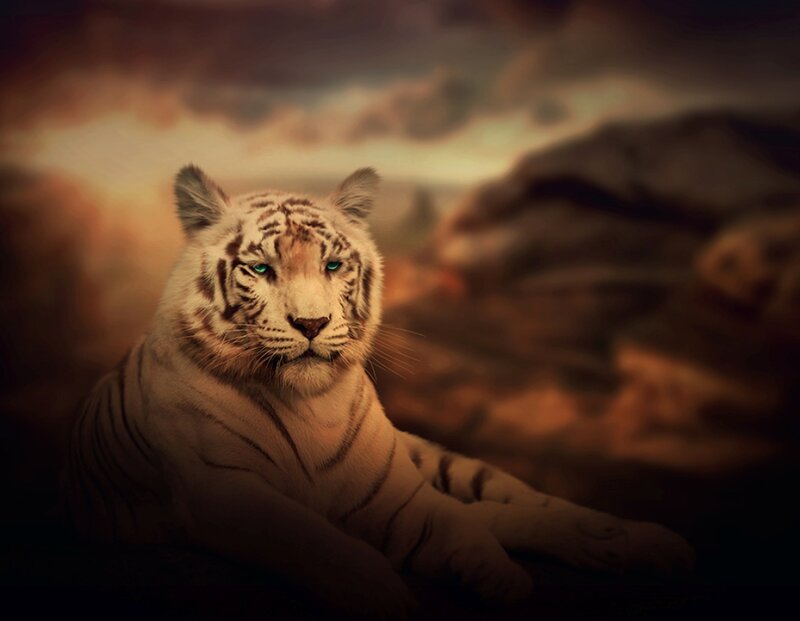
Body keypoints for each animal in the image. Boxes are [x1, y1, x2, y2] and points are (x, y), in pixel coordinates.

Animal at [62, 164, 694, 617]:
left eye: (333, 265)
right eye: (261, 270)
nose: (311, 323)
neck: (308, 406)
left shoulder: (391, 490)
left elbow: (451, 521)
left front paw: (498, 574)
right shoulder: (224, 489)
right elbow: (311, 535)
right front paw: (383, 594)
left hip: (436, 460)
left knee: (509, 501)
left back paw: (635, 540)